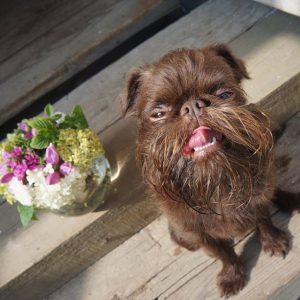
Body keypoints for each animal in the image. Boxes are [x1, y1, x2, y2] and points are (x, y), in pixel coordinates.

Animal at [120, 44, 290, 298]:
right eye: (158, 114)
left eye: (224, 94)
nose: (193, 106)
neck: (214, 179)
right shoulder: (199, 234)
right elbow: (223, 254)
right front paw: (232, 275)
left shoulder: (258, 197)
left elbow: (263, 220)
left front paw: (273, 241)